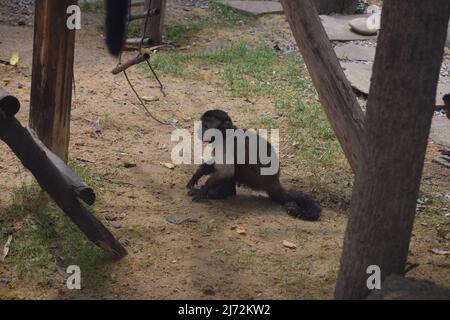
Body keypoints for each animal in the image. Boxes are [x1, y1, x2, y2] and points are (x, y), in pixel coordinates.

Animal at [186, 110, 324, 222]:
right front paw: (199, 172)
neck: (226, 135)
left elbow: (227, 172)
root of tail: (274, 181)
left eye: (205, 126)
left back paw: (220, 193)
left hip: (255, 179)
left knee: (236, 167)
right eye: (202, 125)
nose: (199, 130)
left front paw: (204, 190)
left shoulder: (228, 145)